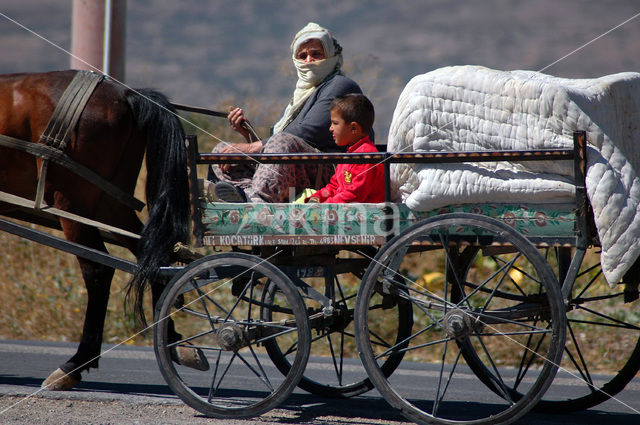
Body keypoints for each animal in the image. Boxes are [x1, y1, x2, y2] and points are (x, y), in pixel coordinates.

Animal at [0, 68, 202, 388]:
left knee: (98, 270)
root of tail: (127, 94)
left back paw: (74, 364)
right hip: (111, 204)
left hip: (74, 203)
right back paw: (172, 342)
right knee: (152, 256)